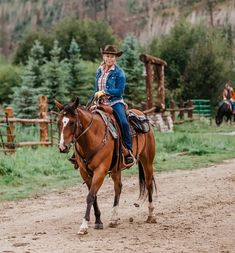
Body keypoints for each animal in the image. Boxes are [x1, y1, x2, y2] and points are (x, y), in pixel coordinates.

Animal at [55, 97, 157, 235]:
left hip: (147, 160)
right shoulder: (84, 172)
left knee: (148, 184)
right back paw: (114, 219)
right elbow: (94, 196)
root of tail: (141, 114)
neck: (92, 137)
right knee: (118, 187)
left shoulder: (100, 170)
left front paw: (84, 225)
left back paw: (151, 215)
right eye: (58, 123)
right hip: (116, 169)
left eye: (72, 122)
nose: (62, 147)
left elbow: (90, 196)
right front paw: (98, 221)